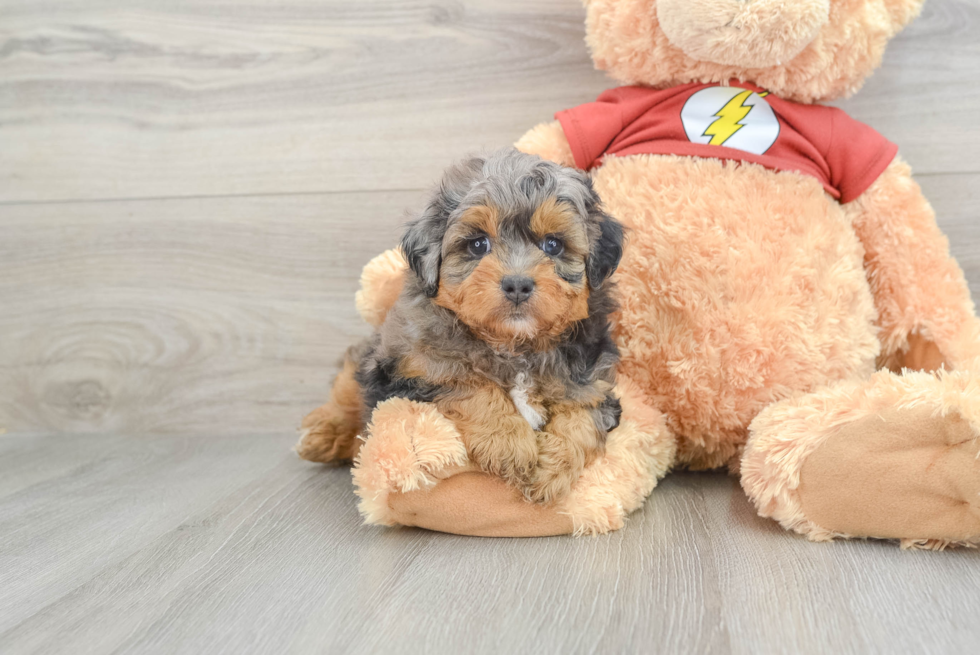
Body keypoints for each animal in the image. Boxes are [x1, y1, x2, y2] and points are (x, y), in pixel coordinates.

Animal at [298, 149, 624, 504]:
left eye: (553, 245)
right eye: (478, 245)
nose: (518, 285)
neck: (515, 345)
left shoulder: (594, 382)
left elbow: (582, 417)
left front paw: (550, 472)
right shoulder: (410, 368)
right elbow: (469, 386)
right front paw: (512, 446)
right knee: (346, 392)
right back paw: (322, 435)